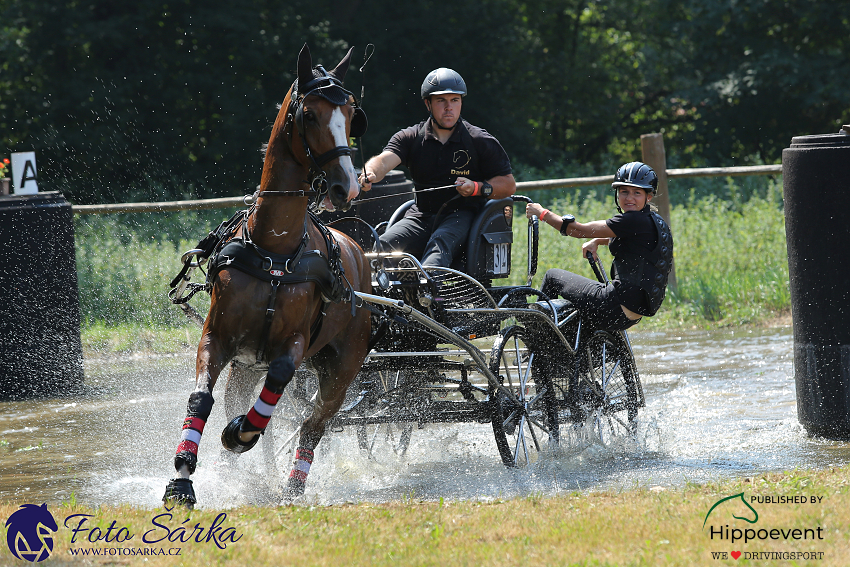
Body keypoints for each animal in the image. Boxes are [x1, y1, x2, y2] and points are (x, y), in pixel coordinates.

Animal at [161, 43, 370, 506]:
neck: (275, 249)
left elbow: (274, 391)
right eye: (309, 114)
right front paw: (182, 479)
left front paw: (239, 434)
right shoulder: (218, 340)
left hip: (342, 367)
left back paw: (291, 485)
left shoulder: (291, 347)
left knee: (312, 425)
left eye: (351, 115)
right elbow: (200, 400)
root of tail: (364, 258)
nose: (346, 186)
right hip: (245, 368)